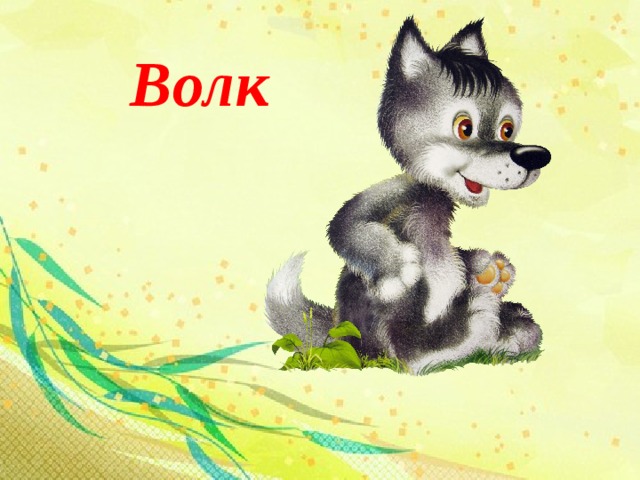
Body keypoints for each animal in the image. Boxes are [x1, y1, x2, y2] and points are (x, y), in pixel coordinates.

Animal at [265, 18, 551, 374]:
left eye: (507, 129)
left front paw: (491, 266)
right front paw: (396, 268)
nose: (535, 157)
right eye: (465, 128)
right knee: (409, 356)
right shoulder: (400, 192)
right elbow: (345, 223)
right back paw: (468, 321)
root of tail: (342, 334)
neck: (435, 200)